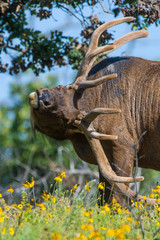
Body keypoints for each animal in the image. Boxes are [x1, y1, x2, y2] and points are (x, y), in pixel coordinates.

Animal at [28, 16, 159, 205]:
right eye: (62, 86)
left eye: (64, 119)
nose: (43, 97)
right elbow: (103, 197)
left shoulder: (125, 144)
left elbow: (117, 198)